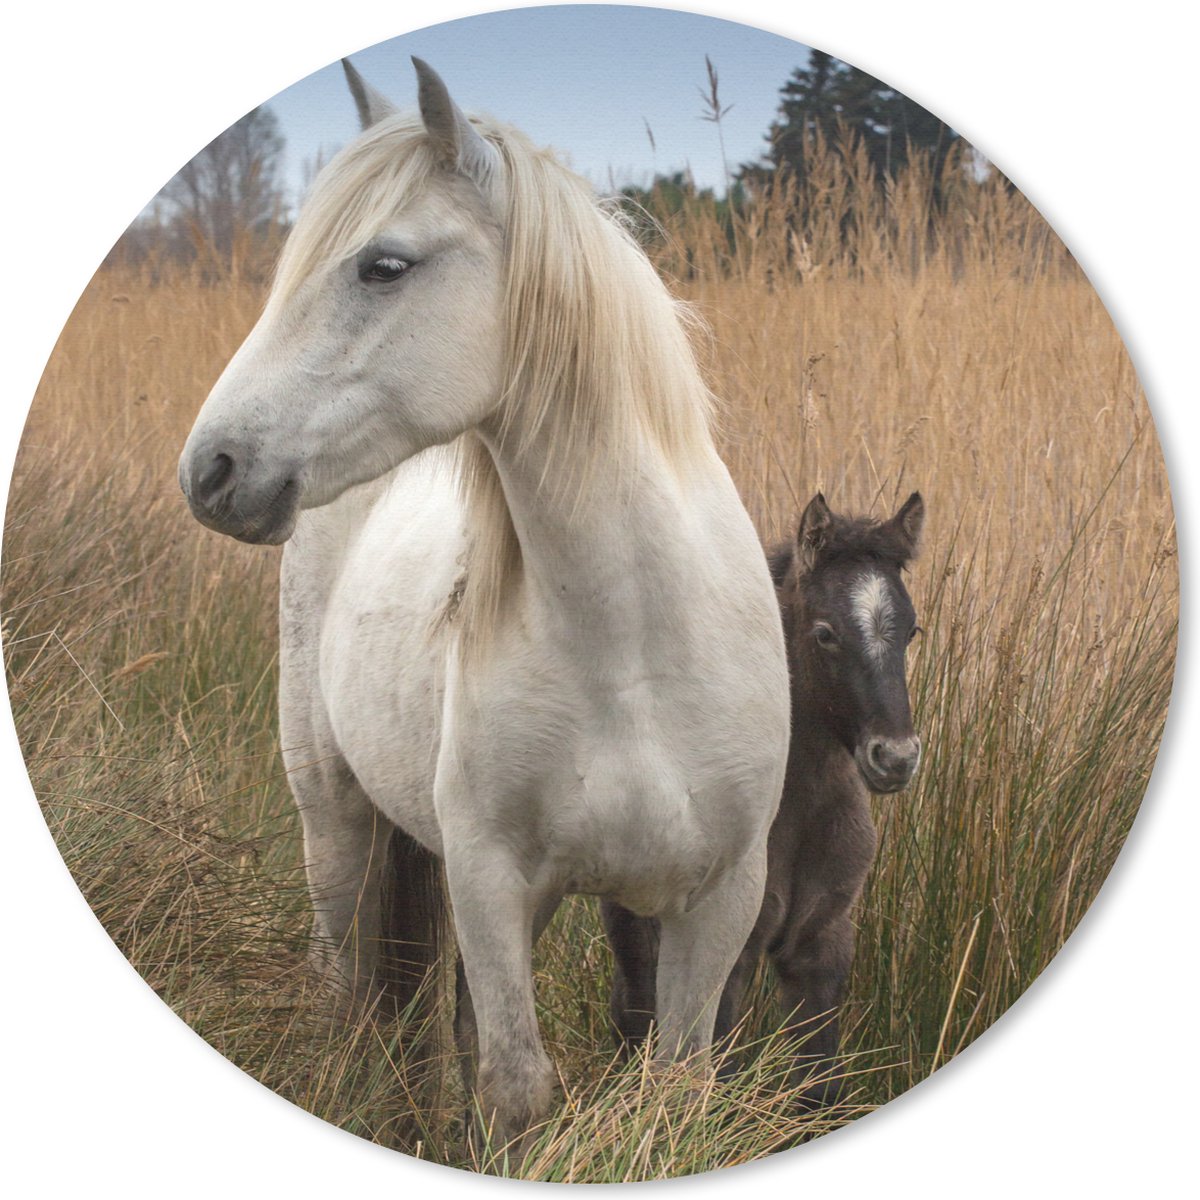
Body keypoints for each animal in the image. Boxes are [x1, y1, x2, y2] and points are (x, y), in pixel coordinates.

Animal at [177, 58, 790, 1146]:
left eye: (384, 266)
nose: (212, 470)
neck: (634, 652)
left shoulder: (718, 899)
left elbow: (671, 1084)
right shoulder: (490, 879)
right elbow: (514, 1087)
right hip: (333, 815)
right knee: (345, 980)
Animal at [602, 491, 924, 1109]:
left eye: (913, 630)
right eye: (825, 633)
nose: (895, 758)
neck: (800, 810)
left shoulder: (821, 946)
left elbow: (820, 1088)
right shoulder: (734, 954)